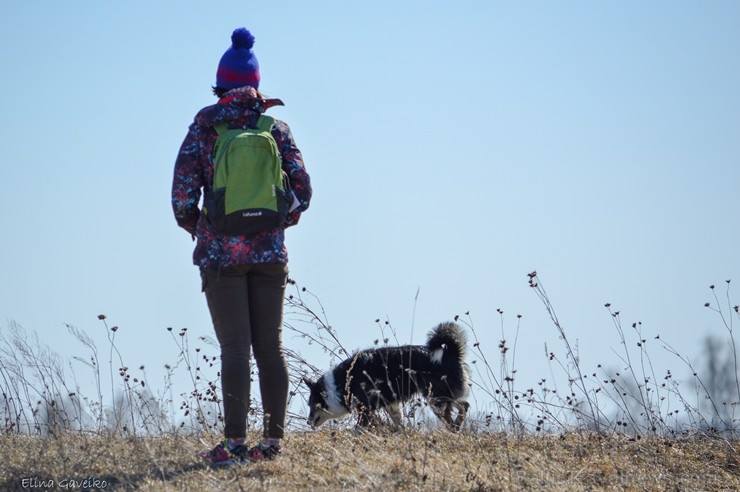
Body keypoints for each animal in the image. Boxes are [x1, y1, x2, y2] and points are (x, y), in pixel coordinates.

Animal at [304, 320, 472, 430]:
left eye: (312, 404)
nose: (308, 422)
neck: (342, 383)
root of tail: (451, 353)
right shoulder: (392, 405)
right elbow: (399, 424)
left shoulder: (365, 408)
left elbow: (360, 428)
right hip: (441, 398)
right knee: (464, 405)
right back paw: (456, 428)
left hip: (436, 399)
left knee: (457, 411)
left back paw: (454, 428)